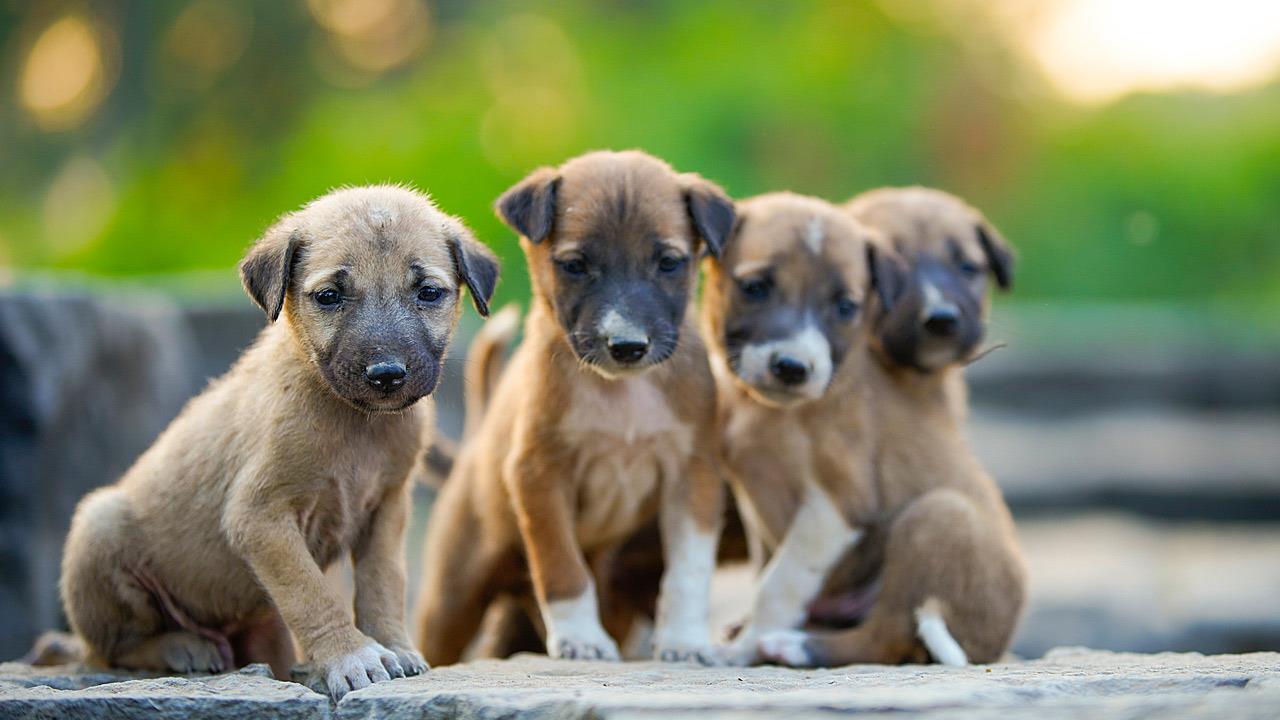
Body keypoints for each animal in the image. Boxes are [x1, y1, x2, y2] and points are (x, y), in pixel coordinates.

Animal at [62, 183, 496, 696]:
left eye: (428, 292)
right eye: (329, 296)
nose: (387, 374)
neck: (355, 421)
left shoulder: (386, 510)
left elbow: (383, 585)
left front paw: (394, 645)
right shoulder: (261, 517)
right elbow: (311, 594)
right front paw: (351, 656)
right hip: (100, 528)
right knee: (113, 649)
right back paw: (183, 646)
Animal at [414, 148, 737, 666]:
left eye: (669, 262)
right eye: (575, 264)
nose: (627, 346)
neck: (620, 394)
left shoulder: (694, 476)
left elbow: (688, 572)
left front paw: (685, 641)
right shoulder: (541, 476)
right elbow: (562, 568)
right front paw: (581, 639)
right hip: (453, 597)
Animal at [752, 185, 1024, 666]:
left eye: (968, 267)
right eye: (895, 268)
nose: (942, 319)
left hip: (933, 522)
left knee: (888, 633)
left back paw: (793, 644)